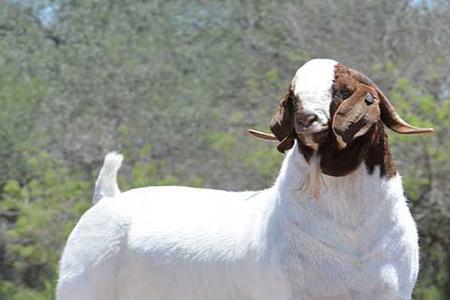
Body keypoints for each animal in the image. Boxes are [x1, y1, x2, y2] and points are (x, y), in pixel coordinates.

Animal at [56, 58, 432, 300]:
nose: (307, 119)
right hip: (80, 289)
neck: (351, 234)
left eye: (341, 90)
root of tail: (107, 198)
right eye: (294, 96)